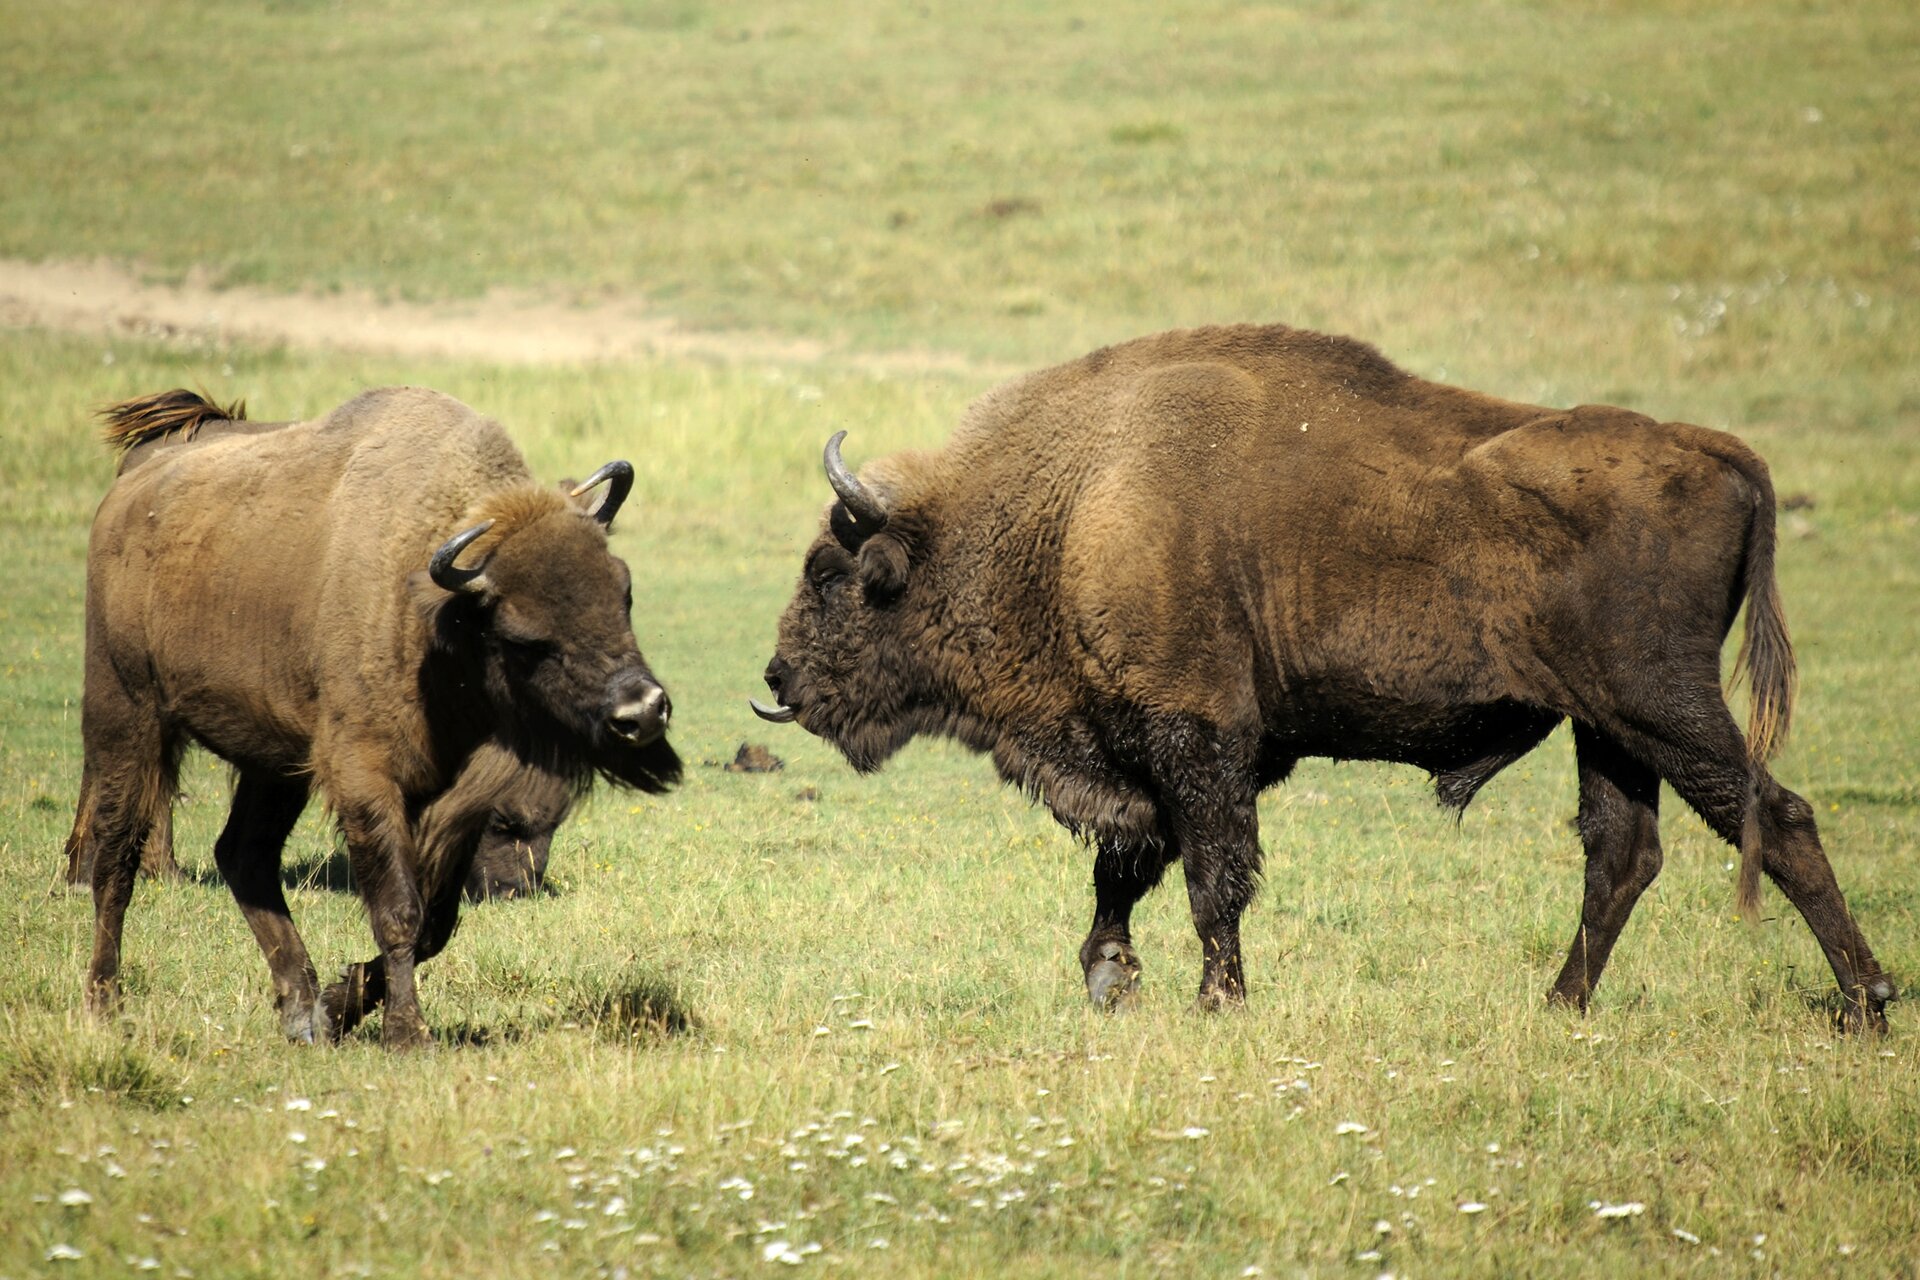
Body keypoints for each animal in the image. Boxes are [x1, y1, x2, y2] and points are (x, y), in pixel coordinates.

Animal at [58, 391, 568, 901]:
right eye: (502, 819)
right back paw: (98, 873)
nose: (512, 889)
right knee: (116, 766)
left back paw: (153, 870)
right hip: (122, 683)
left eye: (556, 820)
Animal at [756, 322, 1896, 1028]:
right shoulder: (1167, 752)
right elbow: (1131, 864)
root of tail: (1717, 451)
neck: (1073, 502)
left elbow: (1213, 875)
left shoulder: (1199, 736)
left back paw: (1867, 1004)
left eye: (831, 572)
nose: (778, 681)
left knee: (1774, 817)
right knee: (1623, 852)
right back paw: (1558, 1007)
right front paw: (1110, 978)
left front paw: (1217, 1000)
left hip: (1661, 705)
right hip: (1606, 727)